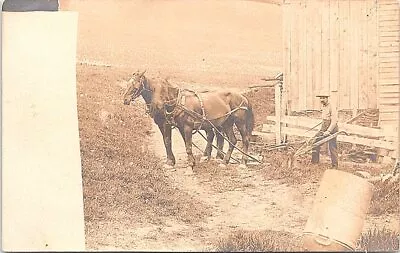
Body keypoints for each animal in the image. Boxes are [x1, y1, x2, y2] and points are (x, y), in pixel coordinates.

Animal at [122, 70, 255, 168]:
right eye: (127, 85)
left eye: (136, 86)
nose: (125, 100)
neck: (177, 103)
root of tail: (243, 97)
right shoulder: (172, 126)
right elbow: (169, 142)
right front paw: (171, 161)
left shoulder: (185, 127)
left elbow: (187, 145)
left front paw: (190, 162)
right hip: (226, 123)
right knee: (230, 140)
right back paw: (223, 161)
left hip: (239, 122)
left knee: (244, 139)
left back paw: (242, 162)